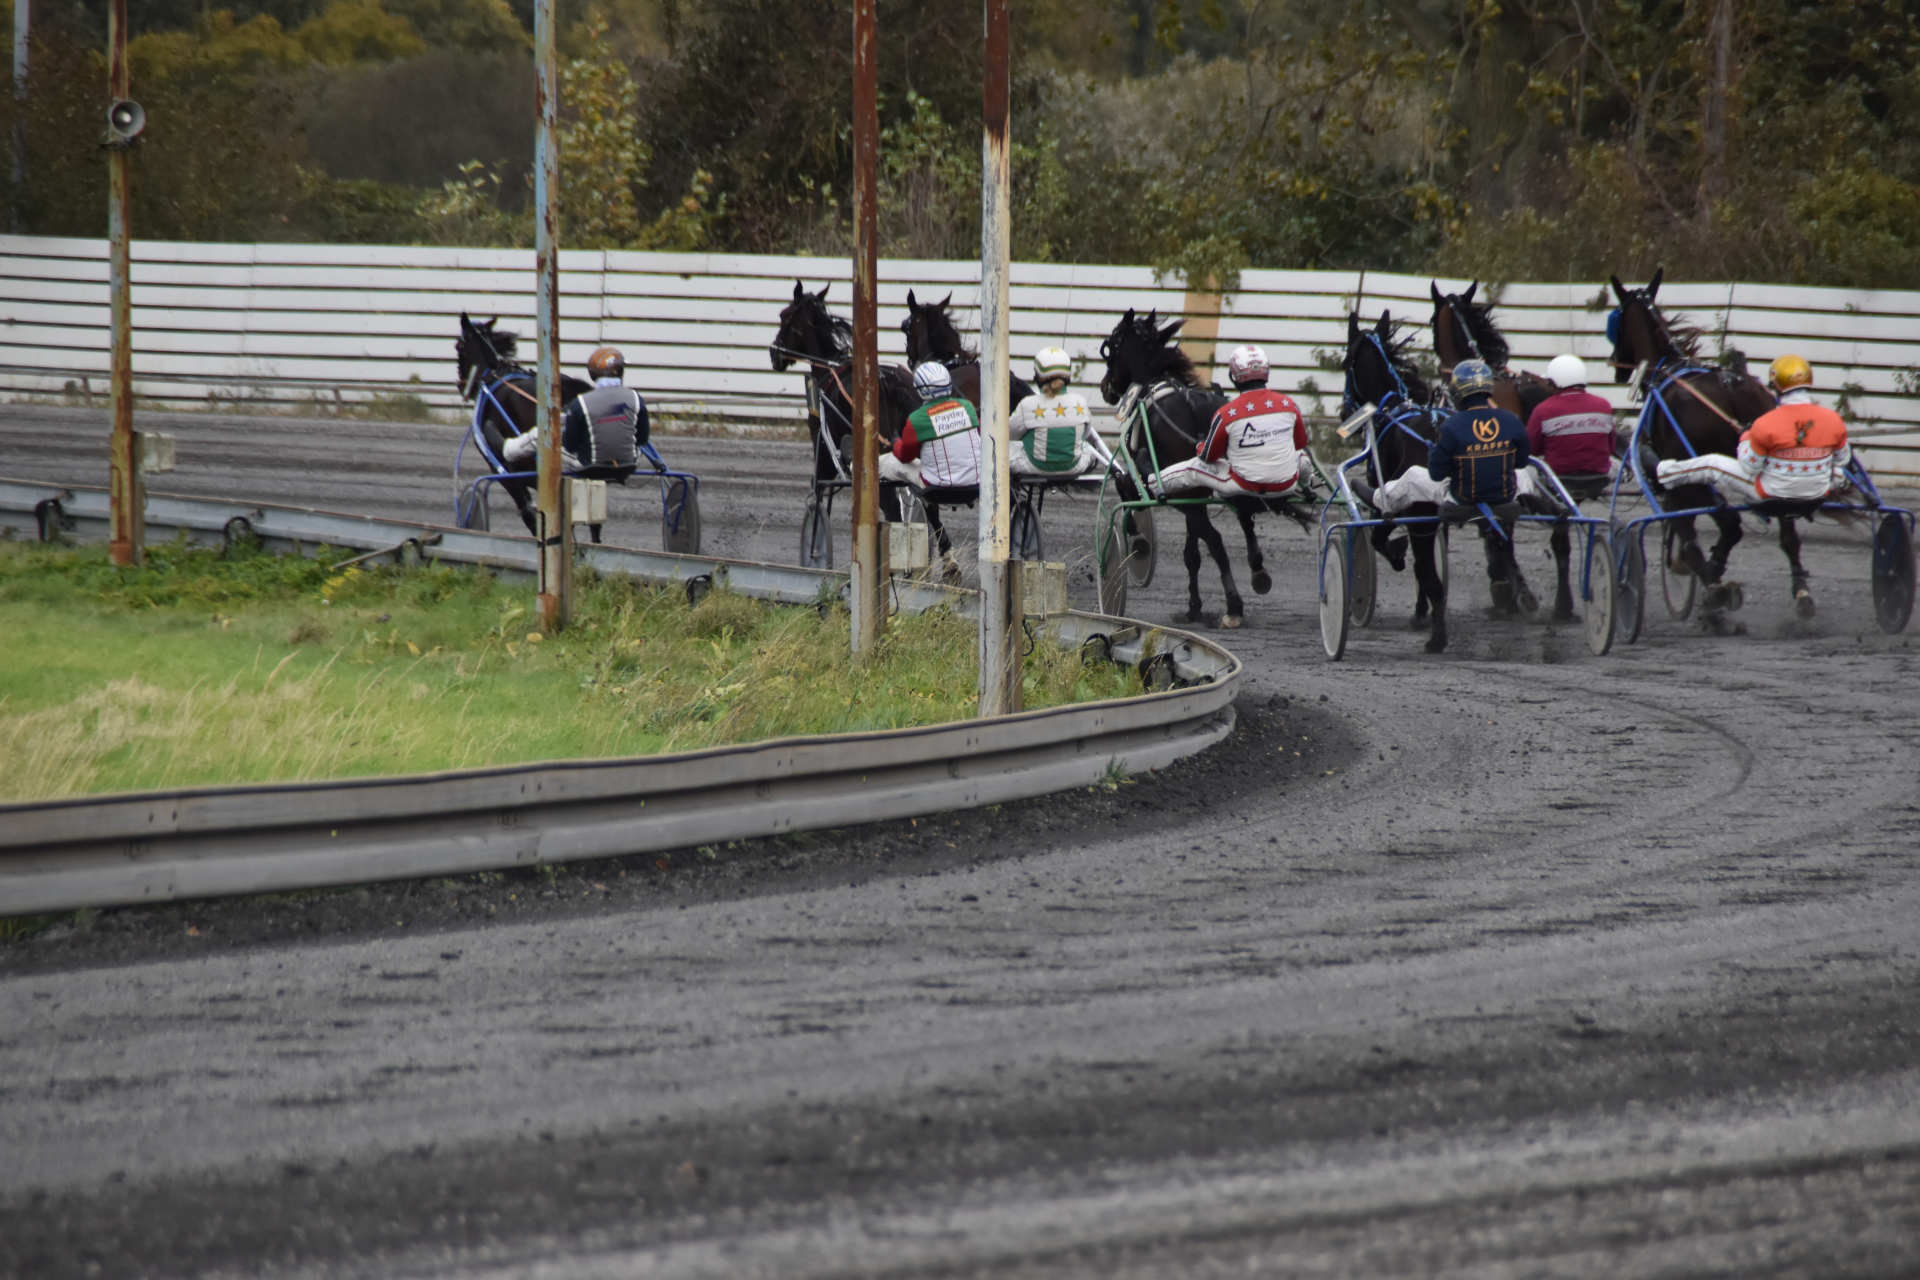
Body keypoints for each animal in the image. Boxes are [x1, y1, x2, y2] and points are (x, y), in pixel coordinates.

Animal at [1099, 308, 1306, 627]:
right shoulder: (1194, 494)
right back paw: (1257, 571)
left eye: (1112, 347)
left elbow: (1123, 485)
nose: (1104, 386)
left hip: (1180, 493)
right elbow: (1191, 554)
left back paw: (1234, 605)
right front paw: (1194, 607)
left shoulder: (1168, 489)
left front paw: (1138, 538)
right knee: (1243, 521)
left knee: (1217, 540)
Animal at [1341, 309, 1452, 649]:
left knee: (1430, 575)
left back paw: (1437, 639)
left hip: (1419, 515)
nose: (1344, 411)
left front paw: (1398, 556)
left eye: (1344, 364)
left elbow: (1381, 541)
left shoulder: (1388, 502)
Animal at [1608, 269, 1782, 617]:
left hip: (1693, 474)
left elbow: (1683, 529)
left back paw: (1712, 579)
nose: (1616, 363)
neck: (1664, 369)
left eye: (1617, 321)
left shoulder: (1672, 481)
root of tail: (1731, 388)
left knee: (1729, 523)